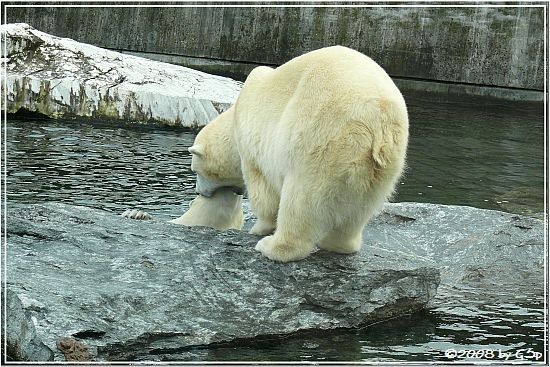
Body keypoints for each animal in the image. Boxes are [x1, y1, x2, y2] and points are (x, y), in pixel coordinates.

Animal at [190, 46, 410, 264]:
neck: (236, 116)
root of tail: (378, 117)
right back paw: (338, 243)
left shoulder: (253, 148)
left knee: (301, 200)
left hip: (320, 137)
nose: (198, 192)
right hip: (383, 164)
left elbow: (264, 194)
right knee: (359, 210)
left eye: (196, 171)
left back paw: (273, 247)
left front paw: (258, 229)